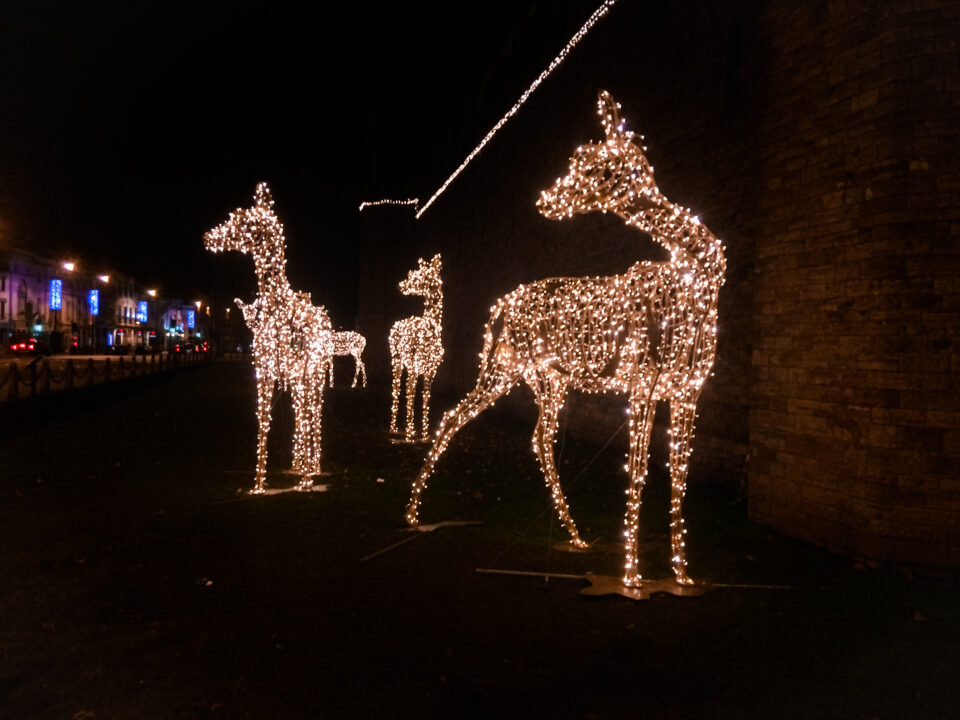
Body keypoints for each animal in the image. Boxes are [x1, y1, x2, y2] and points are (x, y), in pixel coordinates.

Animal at [204, 183, 336, 492]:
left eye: (243, 220)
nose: (208, 237)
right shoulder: (264, 372)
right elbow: (264, 421)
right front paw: (258, 483)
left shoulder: (300, 372)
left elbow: (303, 418)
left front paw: (306, 481)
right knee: (302, 415)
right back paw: (300, 463)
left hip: (315, 377)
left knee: (314, 413)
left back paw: (314, 467)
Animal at [388, 256, 444, 442]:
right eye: (412, 273)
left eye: (421, 275)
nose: (401, 286)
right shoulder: (415, 365)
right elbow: (411, 392)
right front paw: (410, 433)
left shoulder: (431, 370)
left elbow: (425, 396)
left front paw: (425, 434)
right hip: (397, 360)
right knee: (397, 388)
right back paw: (394, 428)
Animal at [404, 93, 728, 588]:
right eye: (577, 159)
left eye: (595, 164)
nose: (546, 200)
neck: (696, 284)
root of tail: (501, 306)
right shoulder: (644, 380)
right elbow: (637, 471)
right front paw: (633, 574)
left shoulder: (689, 389)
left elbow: (679, 473)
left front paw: (682, 573)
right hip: (503, 367)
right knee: (454, 417)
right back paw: (412, 513)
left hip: (548, 380)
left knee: (539, 439)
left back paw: (575, 535)